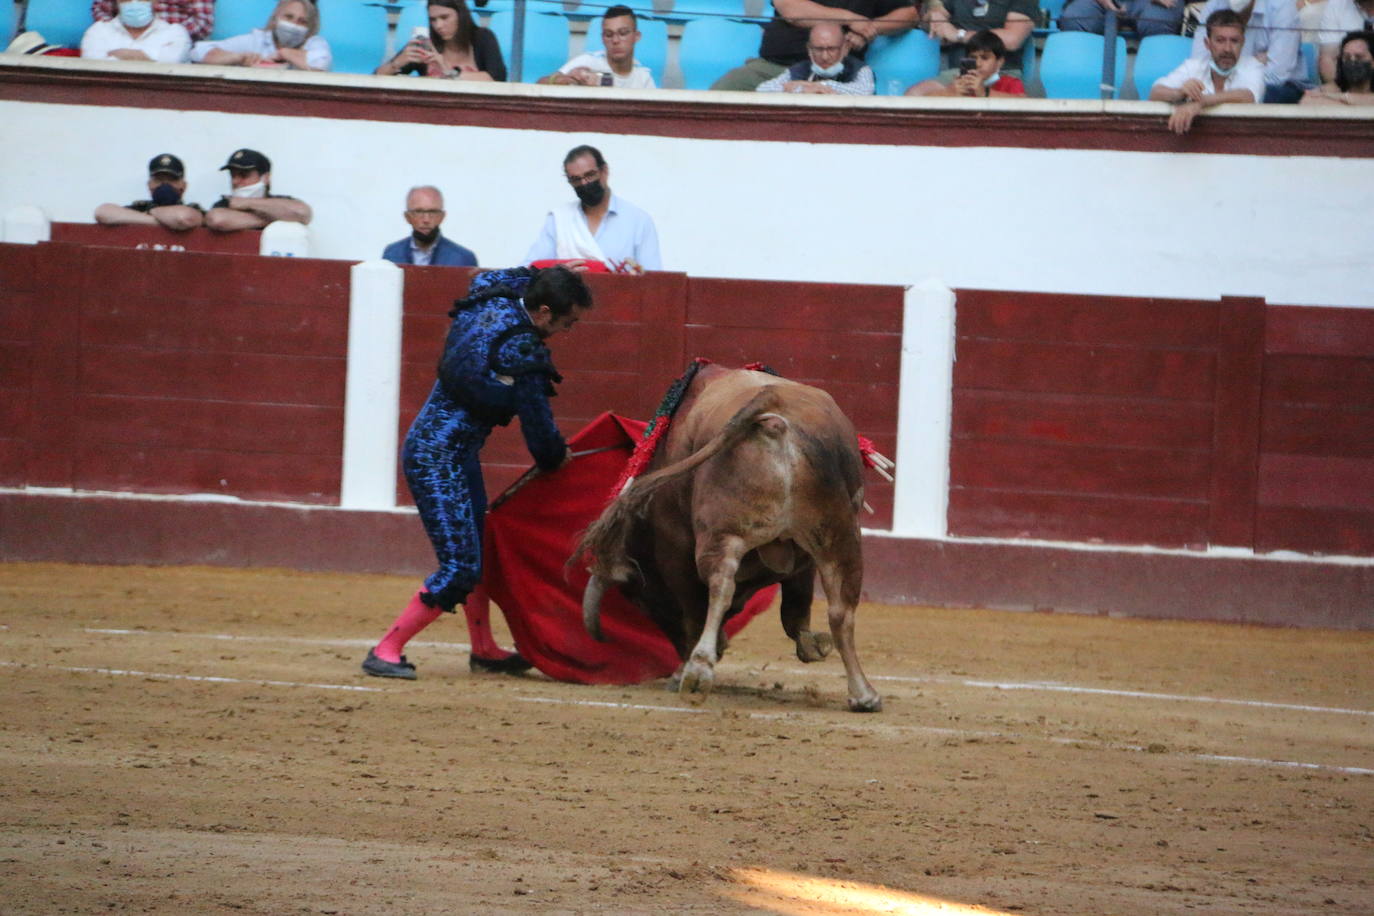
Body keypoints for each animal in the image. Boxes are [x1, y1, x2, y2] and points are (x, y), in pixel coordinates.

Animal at [577, 362, 879, 714]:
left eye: (643, 600)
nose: (722, 644)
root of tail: (772, 404)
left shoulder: (674, 548)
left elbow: (695, 610)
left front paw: (683, 670)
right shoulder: (801, 558)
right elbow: (794, 611)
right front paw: (815, 645)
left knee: (720, 584)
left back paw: (697, 671)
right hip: (838, 533)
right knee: (840, 609)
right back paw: (864, 694)